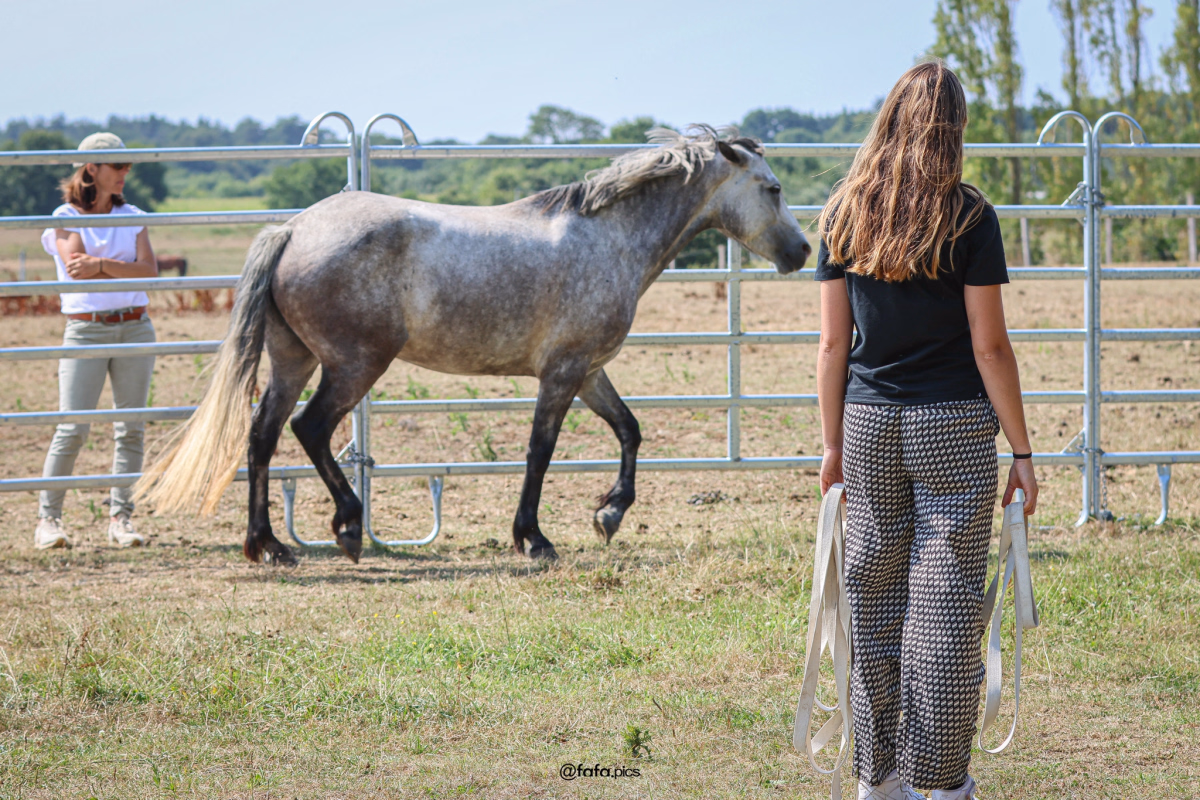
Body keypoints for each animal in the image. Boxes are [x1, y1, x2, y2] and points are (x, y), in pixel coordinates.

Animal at [134, 125, 810, 565]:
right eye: (773, 189)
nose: (802, 252)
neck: (609, 238)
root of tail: (295, 227)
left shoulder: (588, 370)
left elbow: (630, 430)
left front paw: (609, 515)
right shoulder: (562, 373)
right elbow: (540, 451)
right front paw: (535, 539)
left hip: (293, 360)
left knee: (263, 436)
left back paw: (269, 547)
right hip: (354, 363)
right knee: (310, 428)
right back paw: (348, 528)